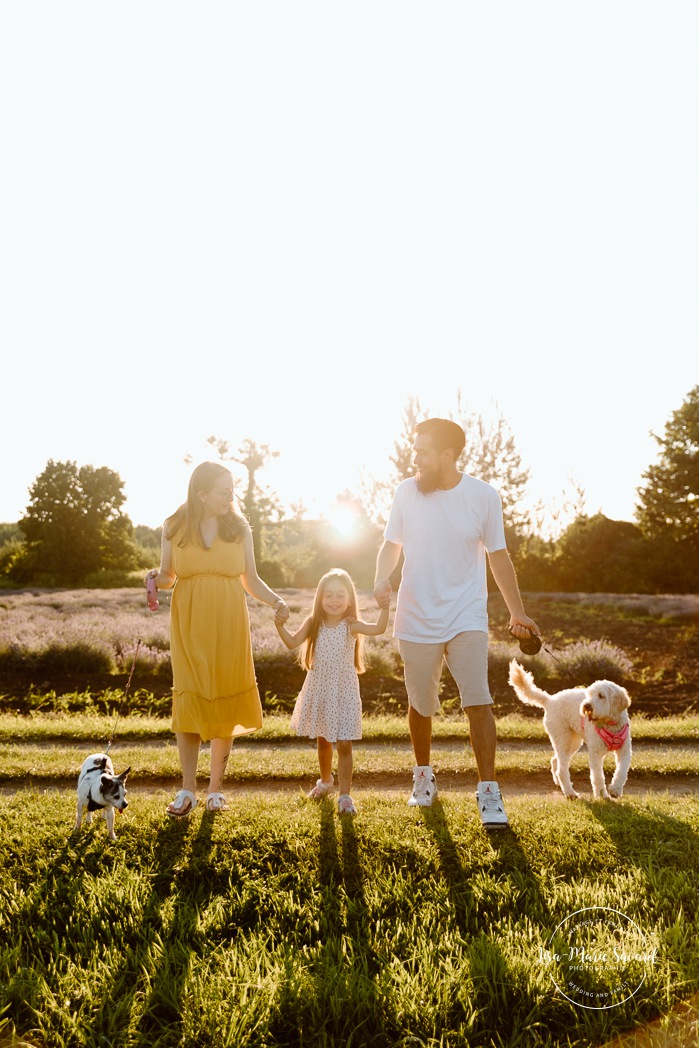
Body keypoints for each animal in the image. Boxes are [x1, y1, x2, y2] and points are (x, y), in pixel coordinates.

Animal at [509, 658, 632, 796]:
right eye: (589, 695)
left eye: (601, 696)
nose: (587, 706)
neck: (610, 724)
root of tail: (549, 699)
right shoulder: (595, 753)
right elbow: (598, 777)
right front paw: (602, 795)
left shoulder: (625, 751)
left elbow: (622, 771)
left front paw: (615, 789)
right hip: (563, 739)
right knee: (561, 769)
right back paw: (570, 793)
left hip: (572, 743)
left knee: (555, 761)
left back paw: (560, 784)